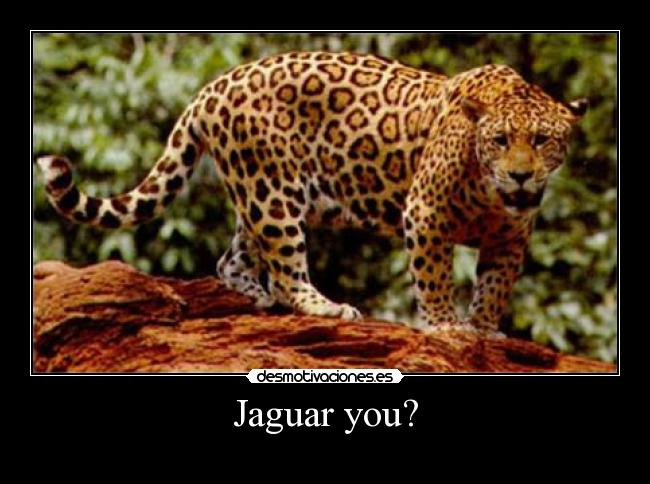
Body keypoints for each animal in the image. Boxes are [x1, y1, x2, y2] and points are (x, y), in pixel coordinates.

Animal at [37, 51, 587, 335]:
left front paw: (485, 328)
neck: (490, 190)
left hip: (258, 192)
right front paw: (445, 326)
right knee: (285, 269)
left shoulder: (510, 237)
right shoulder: (425, 213)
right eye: (500, 141)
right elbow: (433, 276)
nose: (520, 176)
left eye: (542, 140)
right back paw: (324, 307)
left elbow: (495, 286)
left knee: (233, 259)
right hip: (273, 193)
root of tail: (214, 85)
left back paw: (256, 298)